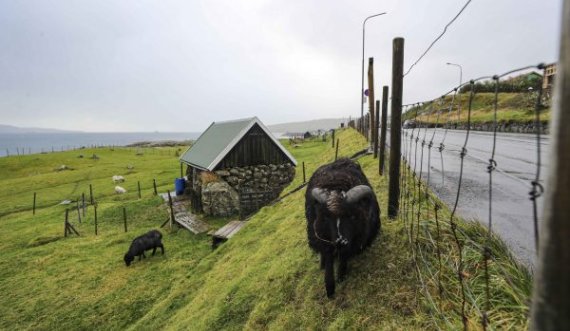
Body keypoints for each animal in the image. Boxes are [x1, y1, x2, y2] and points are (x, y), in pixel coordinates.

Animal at [304, 158, 380, 298]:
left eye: (352, 216)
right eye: (326, 218)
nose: (340, 242)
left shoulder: (353, 241)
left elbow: (344, 255)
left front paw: (341, 276)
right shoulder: (324, 239)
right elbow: (328, 258)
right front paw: (330, 289)